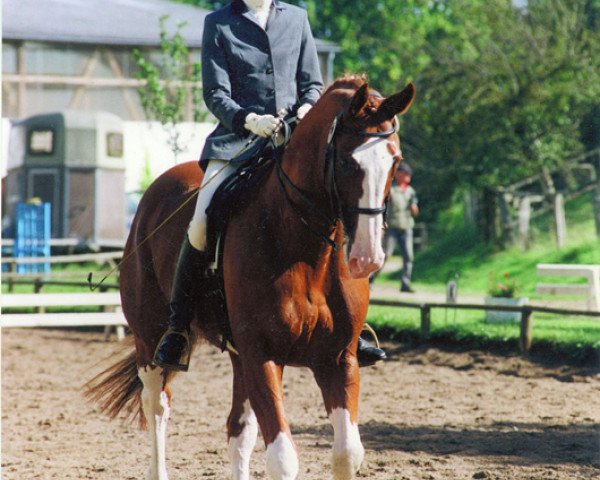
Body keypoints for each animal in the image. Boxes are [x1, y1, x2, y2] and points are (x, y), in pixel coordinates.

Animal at [85, 76, 412, 480]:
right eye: (348, 163)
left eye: (395, 161)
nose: (368, 258)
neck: (304, 249)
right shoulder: (262, 354)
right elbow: (282, 458)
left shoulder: (338, 359)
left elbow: (347, 453)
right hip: (150, 341)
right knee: (158, 406)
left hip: (238, 355)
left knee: (238, 430)